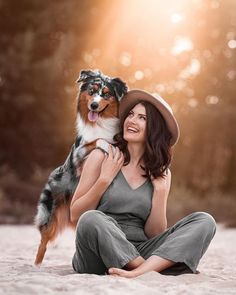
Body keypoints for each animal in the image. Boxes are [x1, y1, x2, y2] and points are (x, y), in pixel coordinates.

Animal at [33, 69, 127, 266]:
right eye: (91, 91)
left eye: (106, 94)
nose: (93, 105)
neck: (101, 122)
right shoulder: (79, 153)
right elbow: (97, 141)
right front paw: (107, 145)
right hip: (50, 215)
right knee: (43, 242)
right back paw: (36, 265)